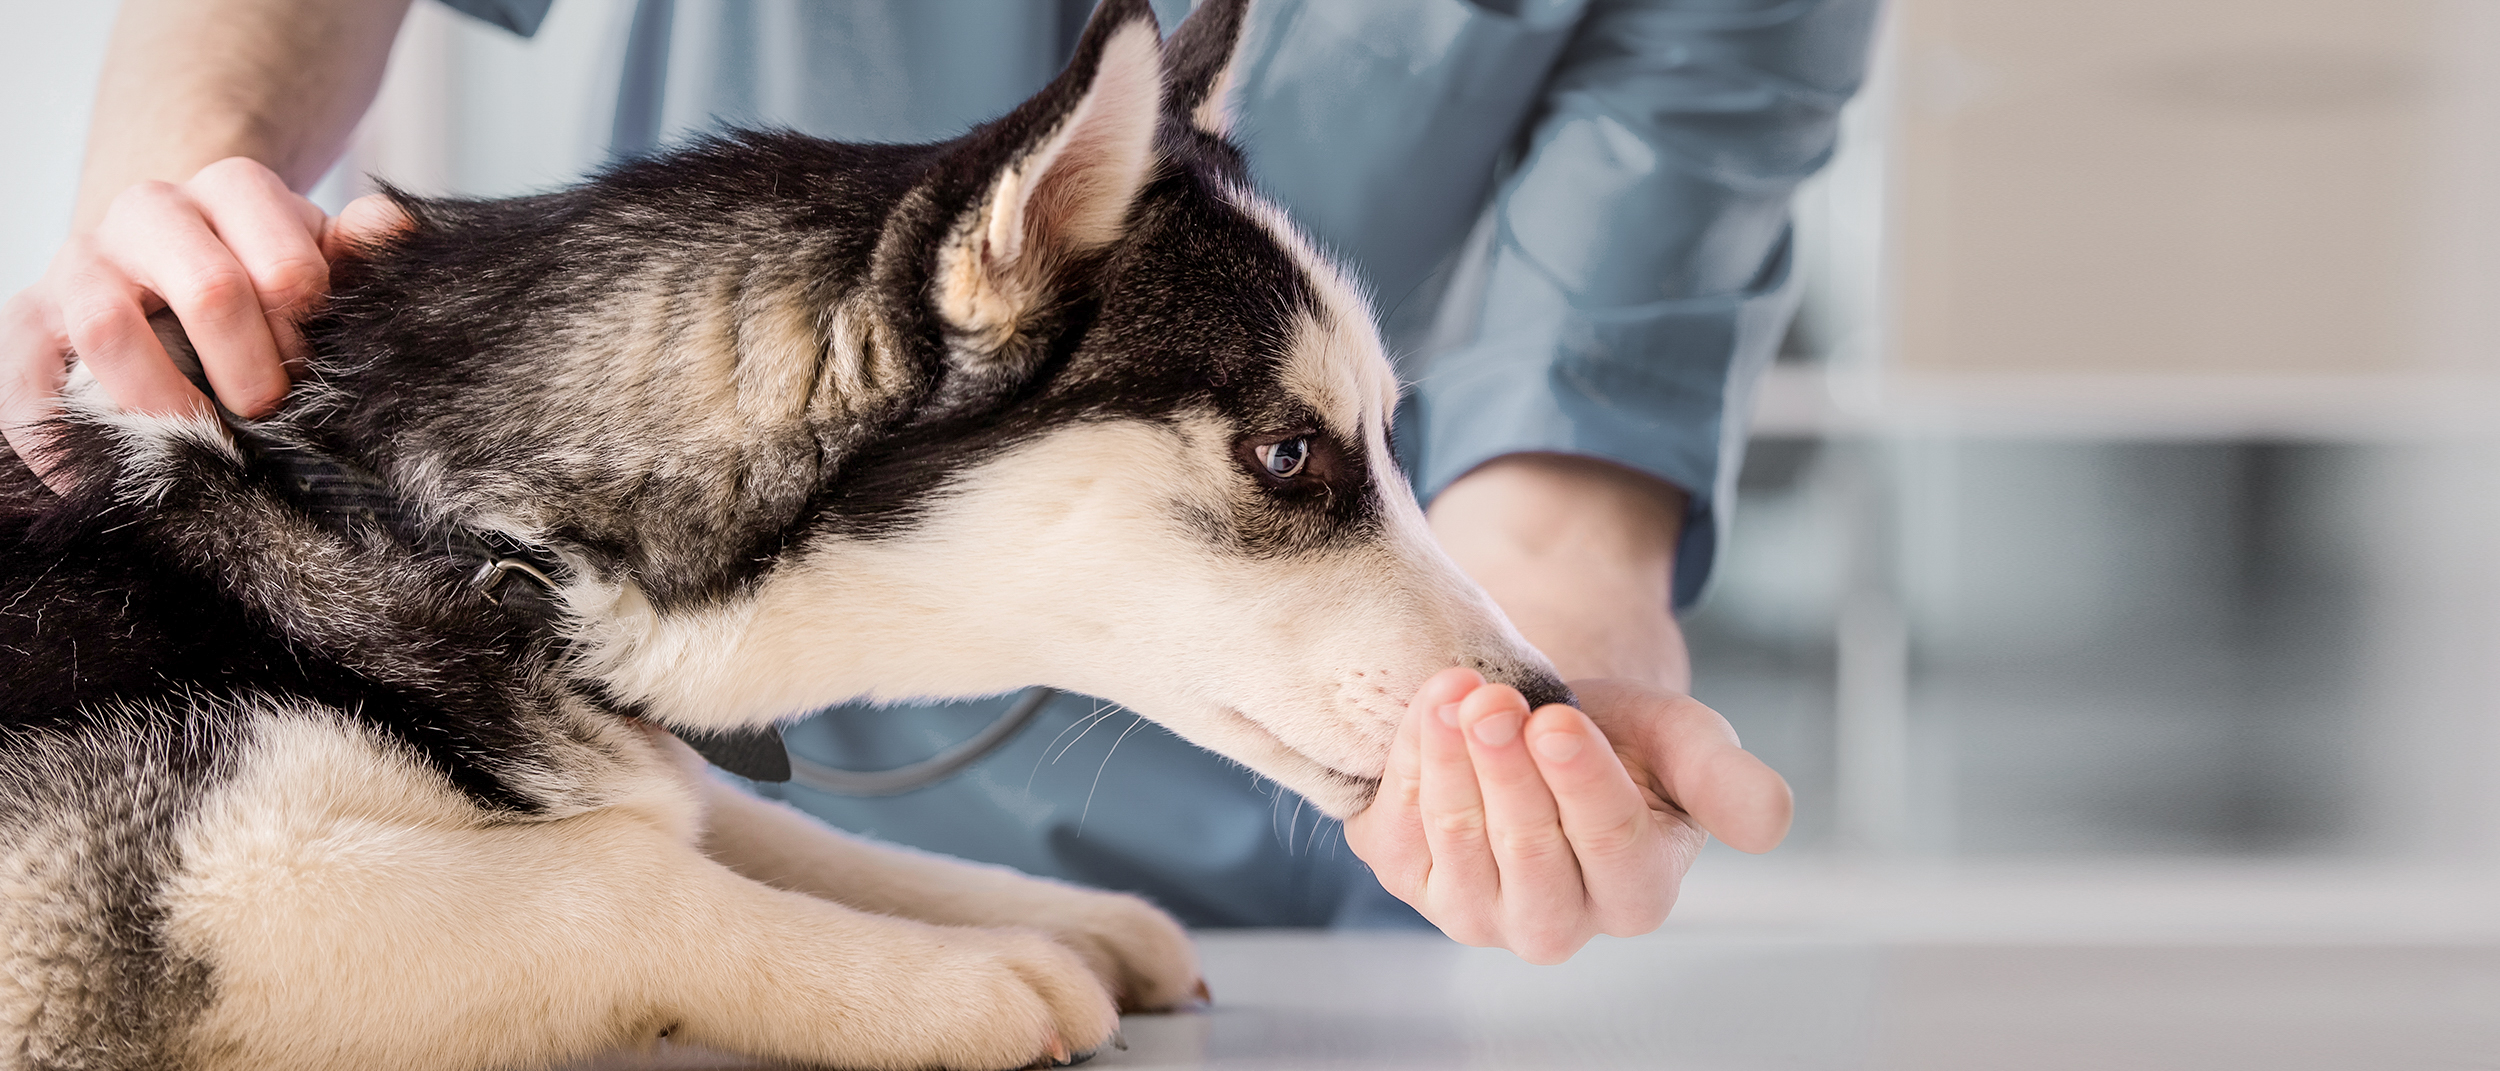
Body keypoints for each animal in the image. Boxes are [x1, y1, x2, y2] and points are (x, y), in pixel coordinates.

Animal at [0, 2, 1560, 1071]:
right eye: (1290, 455)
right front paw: (949, 972)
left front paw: (1011, 906)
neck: (448, 527)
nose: (1551, 702)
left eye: (1386, 440)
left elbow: (733, 818)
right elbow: (621, 868)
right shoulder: (150, 890)